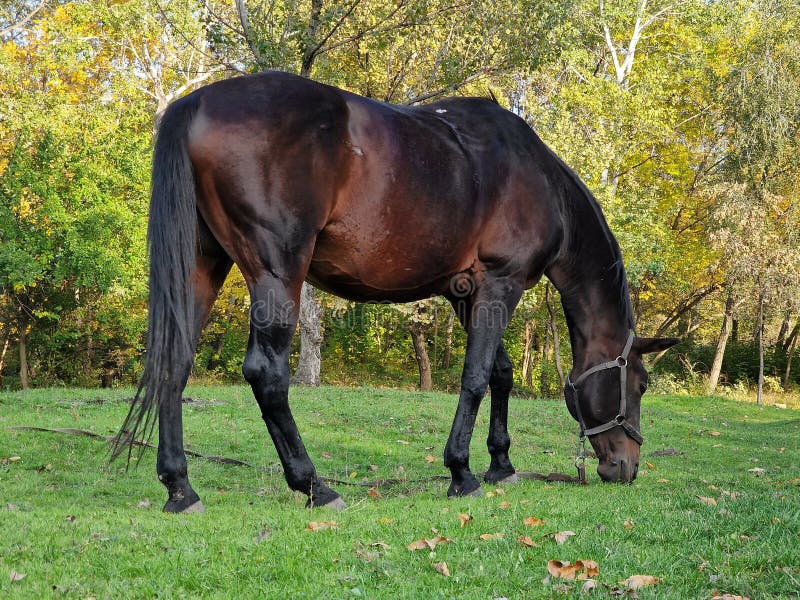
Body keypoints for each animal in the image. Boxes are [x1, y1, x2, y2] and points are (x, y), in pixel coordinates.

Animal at [114, 70, 679, 513]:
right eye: (641, 384)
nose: (626, 467)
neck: (539, 180)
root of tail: (195, 104)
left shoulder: (466, 294)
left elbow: (499, 372)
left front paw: (500, 463)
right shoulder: (501, 283)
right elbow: (476, 378)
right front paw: (461, 473)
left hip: (203, 265)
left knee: (174, 361)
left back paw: (180, 488)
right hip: (277, 272)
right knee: (266, 374)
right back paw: (314, 486)